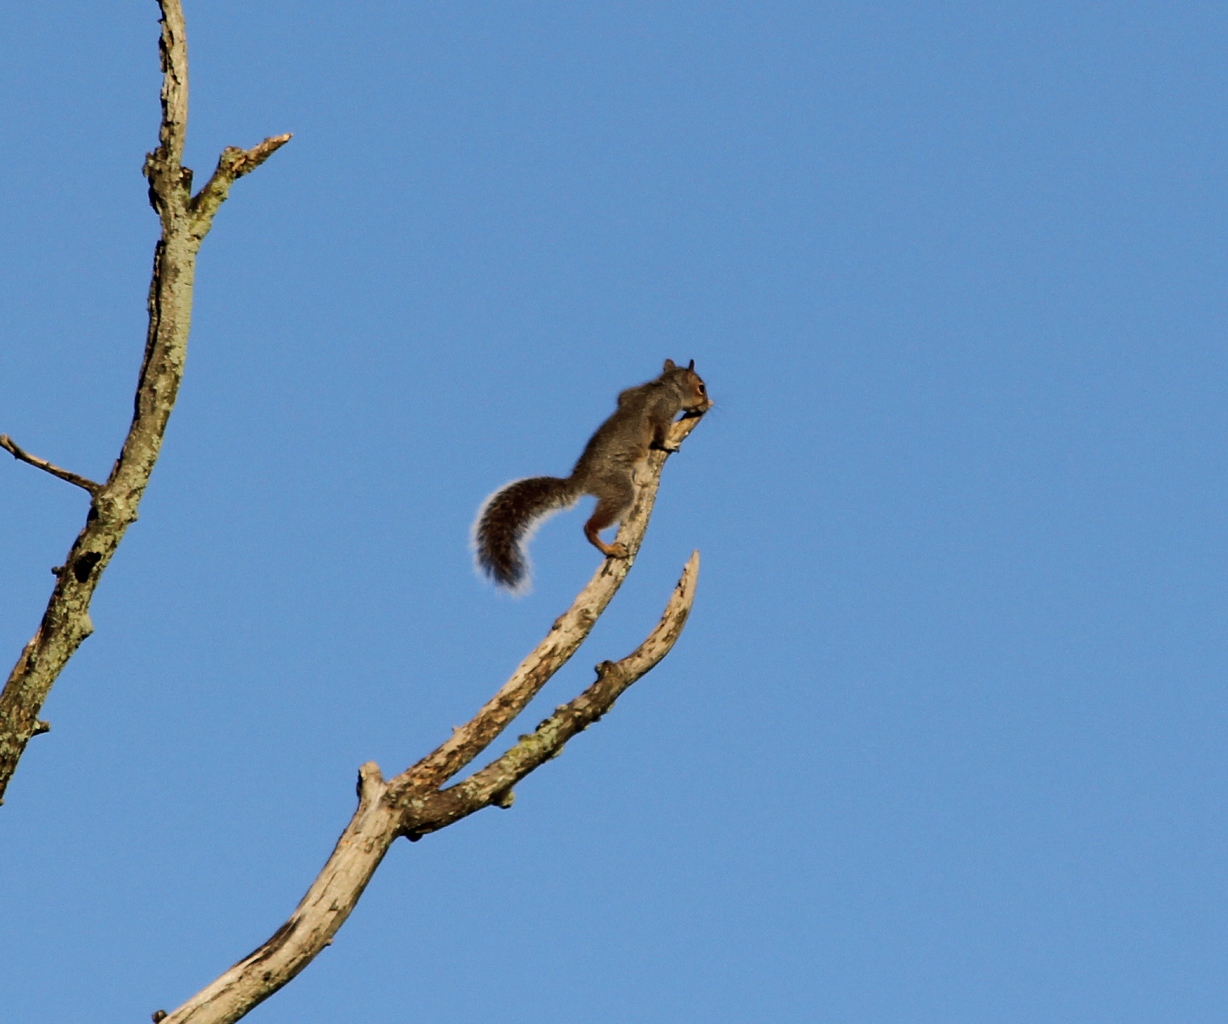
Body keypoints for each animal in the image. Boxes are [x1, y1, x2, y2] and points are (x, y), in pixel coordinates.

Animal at [474, 358, 710, 590]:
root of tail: (581, 480)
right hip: (618, 489)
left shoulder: (629, 393)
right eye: (701, 387)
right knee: (590, 526)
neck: (665, 385)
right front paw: (669, 443)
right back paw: (610, 549)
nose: (708, 404)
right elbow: (660, 434)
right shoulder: (662, 409)